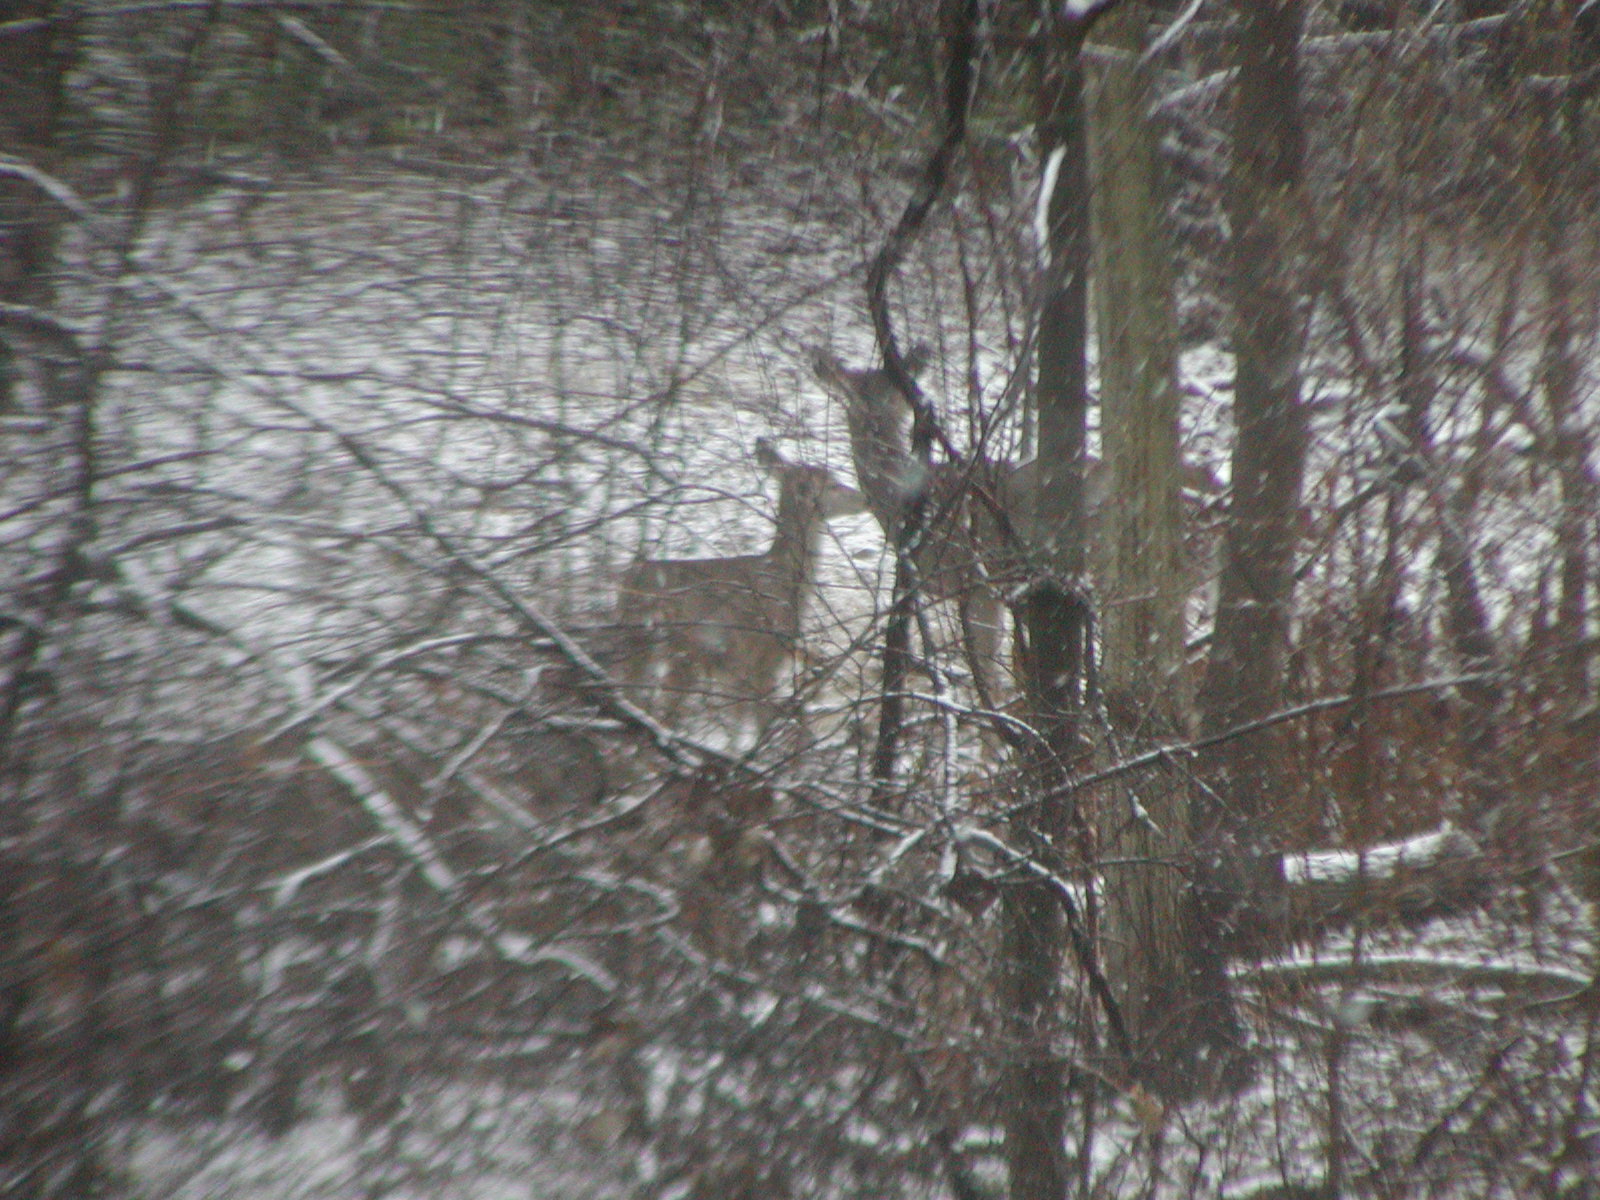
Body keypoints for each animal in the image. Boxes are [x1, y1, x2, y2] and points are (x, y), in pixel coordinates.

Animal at [611, 438, 864, 729]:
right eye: (833, 485)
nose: (864, 498)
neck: (785, 578)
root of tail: (628, 580)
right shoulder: (764, 653)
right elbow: (758, 718)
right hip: (671, 645)